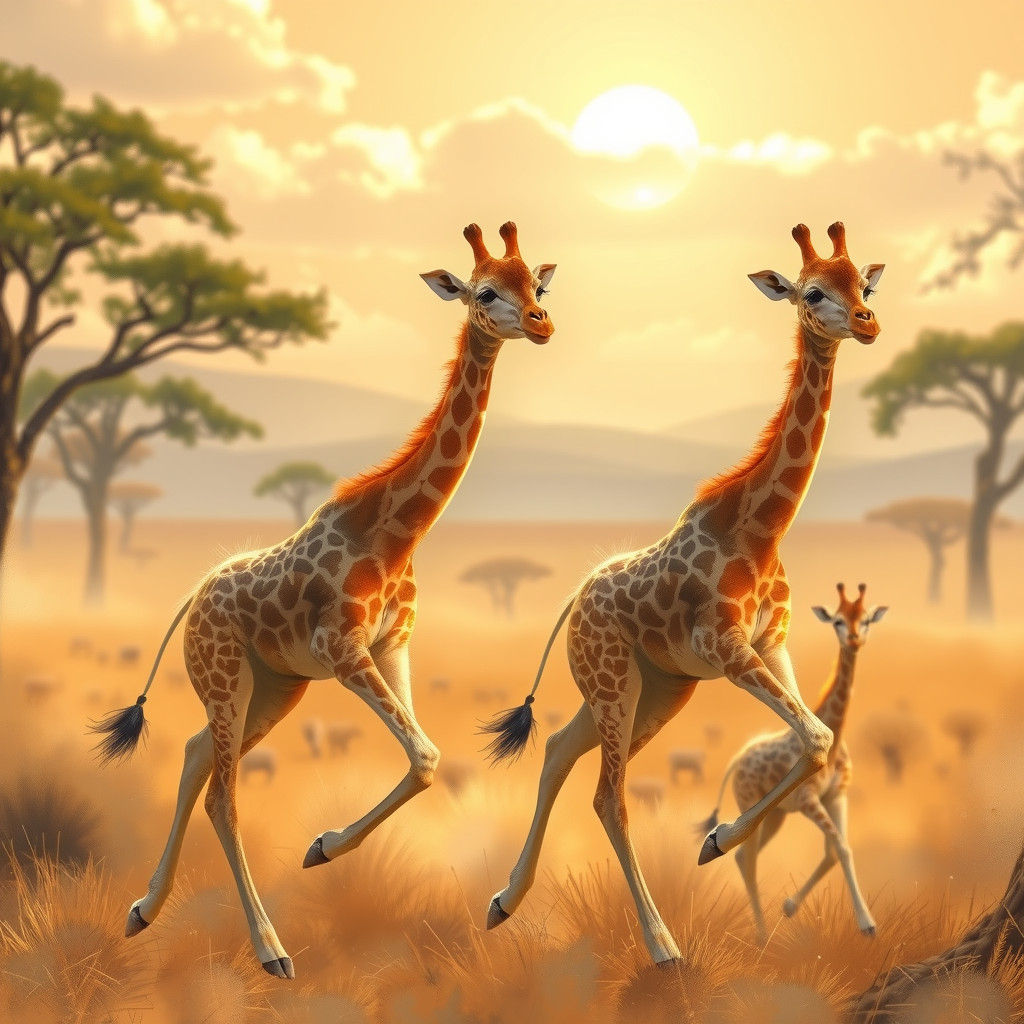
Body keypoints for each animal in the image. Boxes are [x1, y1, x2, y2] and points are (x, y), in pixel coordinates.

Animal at [91, 221, 556, 980]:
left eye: (537, 284)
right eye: (486, 291)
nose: (543, 323)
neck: (396, 533)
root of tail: (193, 598)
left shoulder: (391, 648)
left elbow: (424, 759)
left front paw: (322, 847)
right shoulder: (343, 654)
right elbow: (425, 756)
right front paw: (322, 849)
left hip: (273, 689)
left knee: (194, 755)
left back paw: (143, 911)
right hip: (227, 679)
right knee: (222, 795)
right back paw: (271, 951)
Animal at [697, 583, 889, 944]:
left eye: (867, 619)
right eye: (837, 620)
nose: (854, 639)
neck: (835, 740)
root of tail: (736, 760)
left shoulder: (837, 796)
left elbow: (835, 850)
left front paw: (789, 906)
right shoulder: (809, 800)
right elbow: (841, 848)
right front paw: (867, 925)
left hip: (776, 817)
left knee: (745, 854)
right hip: (754, 803)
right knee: (747, 854)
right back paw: (761, 935)